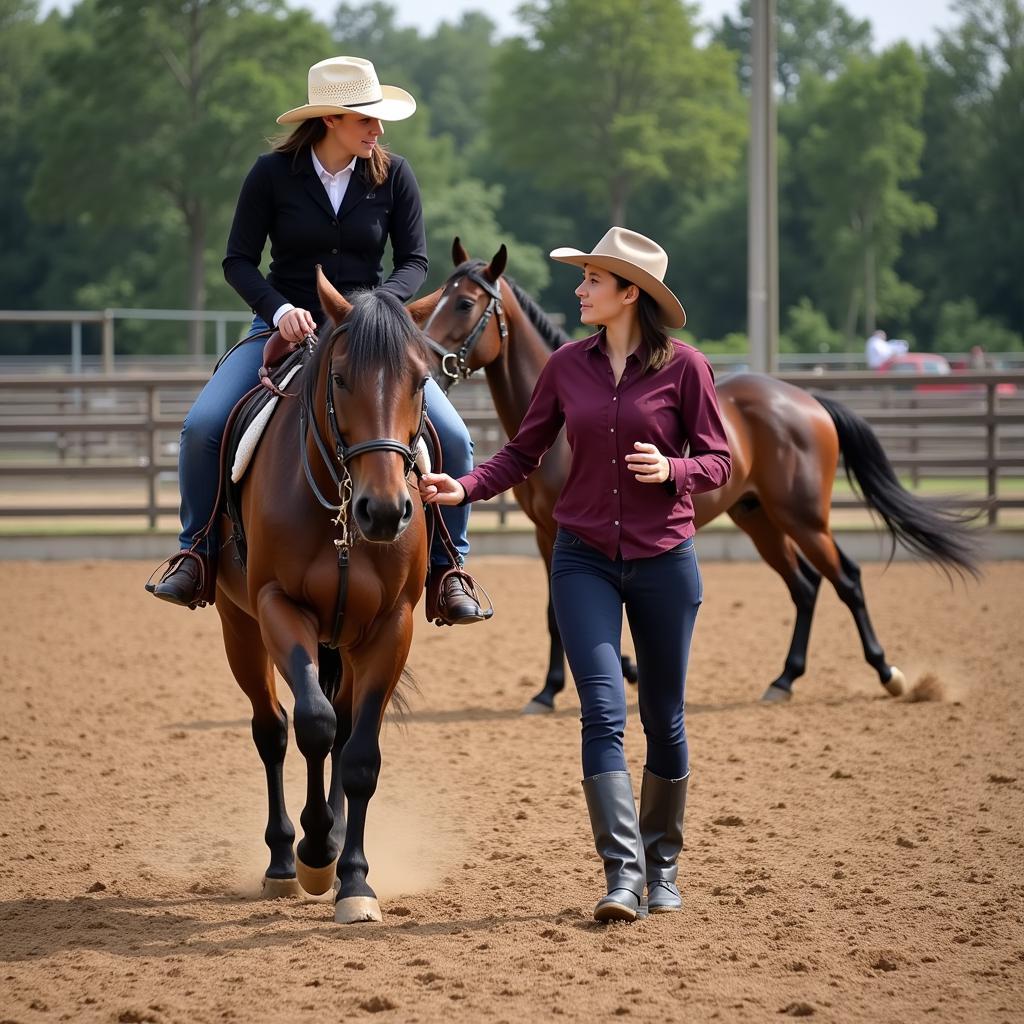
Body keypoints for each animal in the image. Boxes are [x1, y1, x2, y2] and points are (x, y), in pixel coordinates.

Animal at [214, 272, 430, 929]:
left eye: (422, 381)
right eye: (340, 379)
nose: (383, 511)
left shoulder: (391, 627)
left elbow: (358, 754)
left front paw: (353, 878)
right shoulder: (278, 607)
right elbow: (311, 723)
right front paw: (313, 852)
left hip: (349, 641)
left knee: (342, 726)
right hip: (239, 627)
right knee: (273, 729)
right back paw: (286, 859)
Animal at [421, 237, 974, 712]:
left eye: (465, 304)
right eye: (436, 298)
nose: (426, 360)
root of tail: (805, 400)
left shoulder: (558, 532)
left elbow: (559, 615)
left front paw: (580, 682)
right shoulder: (546, 535)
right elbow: (557, 615)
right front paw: (557, 687)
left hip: (803, 519)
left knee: (848, 581)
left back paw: (888, 673)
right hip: (759, 519)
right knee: (805, 586)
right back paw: (783, 679)